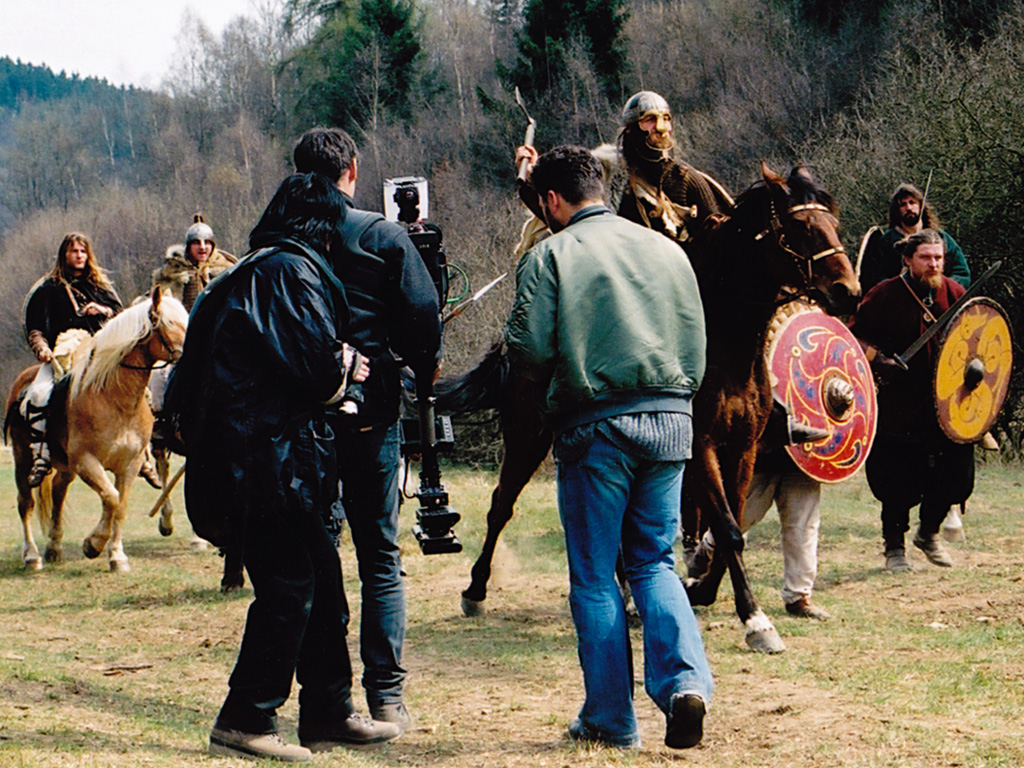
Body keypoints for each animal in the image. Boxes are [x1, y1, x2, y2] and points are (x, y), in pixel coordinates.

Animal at [6, 290, 189, 573]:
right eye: (169, 323)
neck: (113, 398)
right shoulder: (86, 462)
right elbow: (111, 498)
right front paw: (94, 544)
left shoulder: (130, 464)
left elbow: (120, 505)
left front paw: (116, 555)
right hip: (22, 457)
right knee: (25, 502)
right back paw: (32, 556)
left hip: (65, 467)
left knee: (58, 491)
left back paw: (54, 547)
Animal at [444, 165, 860, 651]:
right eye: (800, 227)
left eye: (832, 221)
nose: (848, 292)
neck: (726, 339)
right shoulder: (700, 447)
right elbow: (727, 528)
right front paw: (755, 619)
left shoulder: (743, 448)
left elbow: (732, 525)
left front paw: (704, 589)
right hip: (528, 437)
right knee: (502, 506)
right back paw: (476, 589)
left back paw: (627, 599)